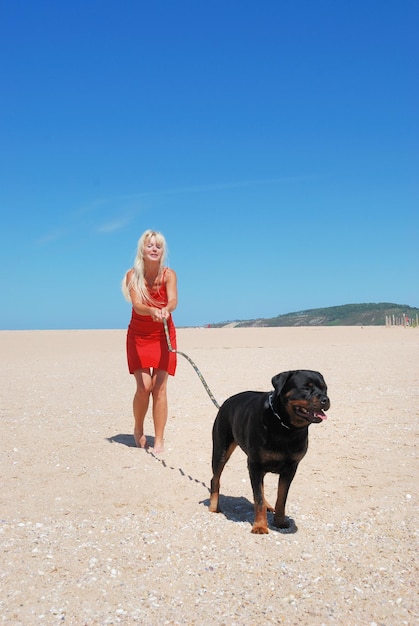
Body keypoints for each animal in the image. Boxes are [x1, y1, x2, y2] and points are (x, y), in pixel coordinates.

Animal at [210, 368, 332, 532]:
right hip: (221, 450)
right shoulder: (255, 465)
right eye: (306, 388)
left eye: (325, 389)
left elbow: (281, 498)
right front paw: (260, 526)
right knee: (215, 478)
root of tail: (225, 403)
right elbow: (259, 499)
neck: (285, 426)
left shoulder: (290, 468)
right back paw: (213, 506)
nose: (326, 399)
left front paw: (279, 521)